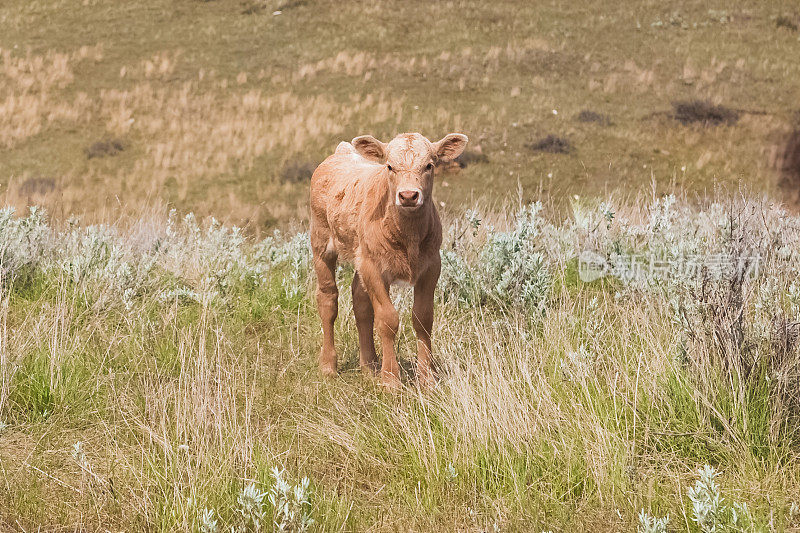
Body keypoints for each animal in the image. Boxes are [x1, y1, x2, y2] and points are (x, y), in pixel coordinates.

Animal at [308, 131, 468, 384]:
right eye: (390, 166)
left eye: (429, 165)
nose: (408, 195)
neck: (408, 237)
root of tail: (342, 153)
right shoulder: (374, 268)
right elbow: (387, 319)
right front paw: (391, 379)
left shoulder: (432, 266)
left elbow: (423, 318)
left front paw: (427, 377)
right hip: (321, 242)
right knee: (328, 299)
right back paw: (328, 366)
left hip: (361, 255)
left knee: (360, 300)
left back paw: (369, 365)